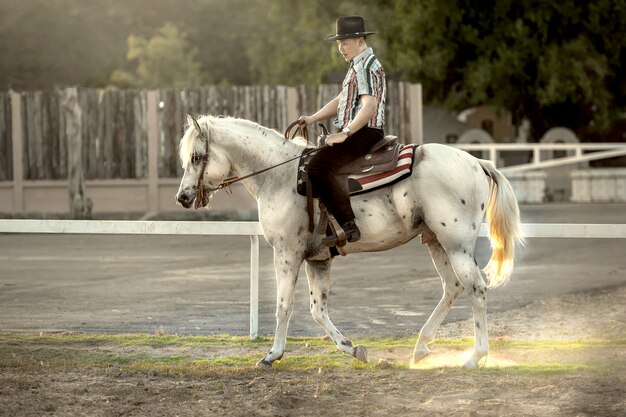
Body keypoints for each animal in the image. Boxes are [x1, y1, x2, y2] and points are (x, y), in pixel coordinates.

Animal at [174, 114, 520, 368]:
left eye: (197, 157)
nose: (183, 197)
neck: (279, 176)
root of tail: (477, 162)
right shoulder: (318, 259)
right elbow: (317, 310)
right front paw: (353, 349)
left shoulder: (286, 253)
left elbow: (284, 306)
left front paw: (272, 355)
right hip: (436, 241)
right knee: (453, 287)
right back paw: (421, 347)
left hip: (456, 245)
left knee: (476, 289)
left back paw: (475, 357)